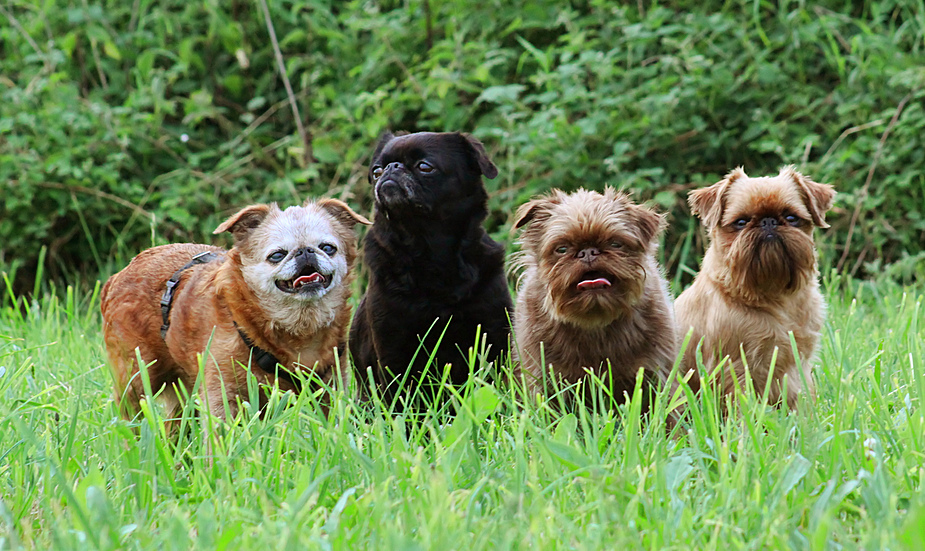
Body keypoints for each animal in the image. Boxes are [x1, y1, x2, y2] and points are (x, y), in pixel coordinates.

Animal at [103, 201, 370, 420]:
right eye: (277, 255)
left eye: (328, 247)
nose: (305, 251)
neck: (298, 328)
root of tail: (116, 277)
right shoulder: (222, 395)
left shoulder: (331, 387)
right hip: (137, 382)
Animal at [350, 129, 516, 406]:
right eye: (376, 170)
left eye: (424, 167)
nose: (391, 168)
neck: (430, 253)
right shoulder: (393, 349)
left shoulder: (494, 336)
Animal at [508, 188, 676, 408]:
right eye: (561, 249)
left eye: (615, 243)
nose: (588, 252)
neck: (594, 322)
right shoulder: (542, 374)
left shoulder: (656, 368)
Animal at [676, 166, 832, 408]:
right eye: (741, 222)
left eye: (791, 218)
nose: (768, 222)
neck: (773, 294)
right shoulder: (736, 368)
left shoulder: (798, 366)